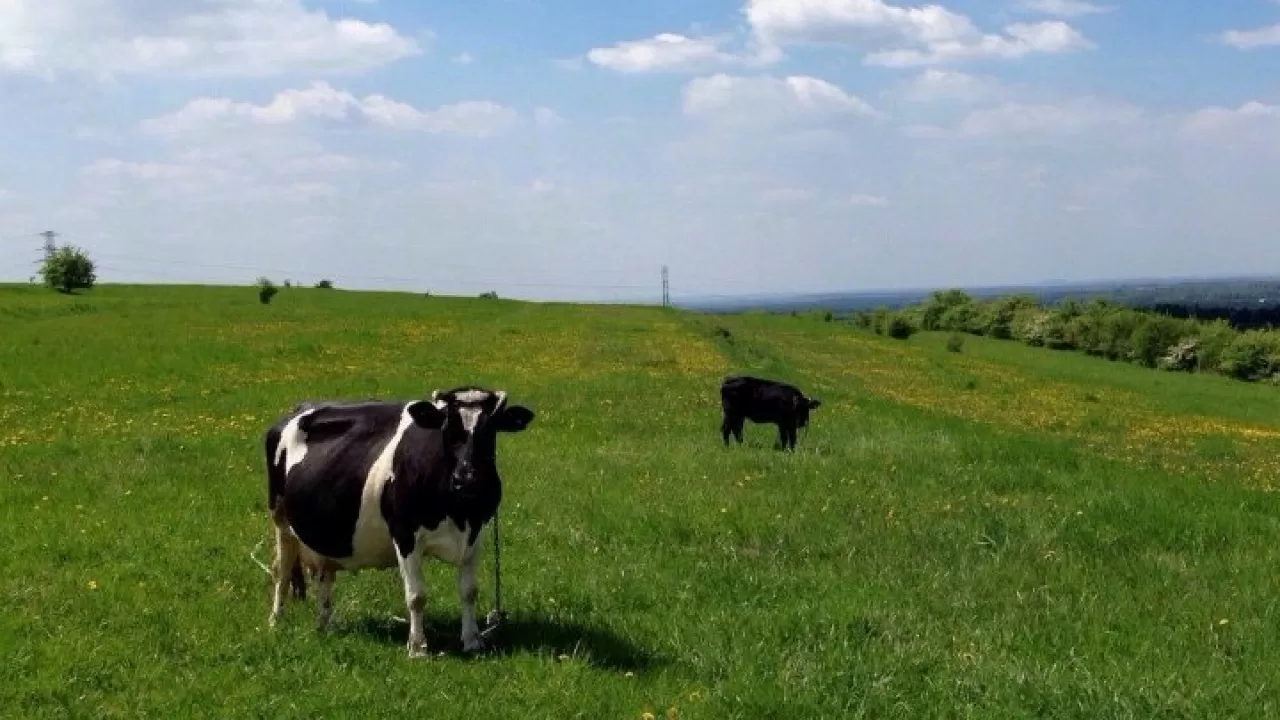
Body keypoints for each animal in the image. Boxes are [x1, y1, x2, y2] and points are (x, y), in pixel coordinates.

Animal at [262, 386, 532, 655]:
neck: (459, 514)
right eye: (448, 430)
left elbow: (469, 591)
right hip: (280, 519)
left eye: (490, 430)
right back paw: (276, 621)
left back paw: (324, 625)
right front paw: (418, 647)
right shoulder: (405, 535)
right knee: (281, 570)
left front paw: (472, 641)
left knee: (324, 574)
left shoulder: (475, 534)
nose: (468, 480)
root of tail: (299, 408)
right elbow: (417, 596)